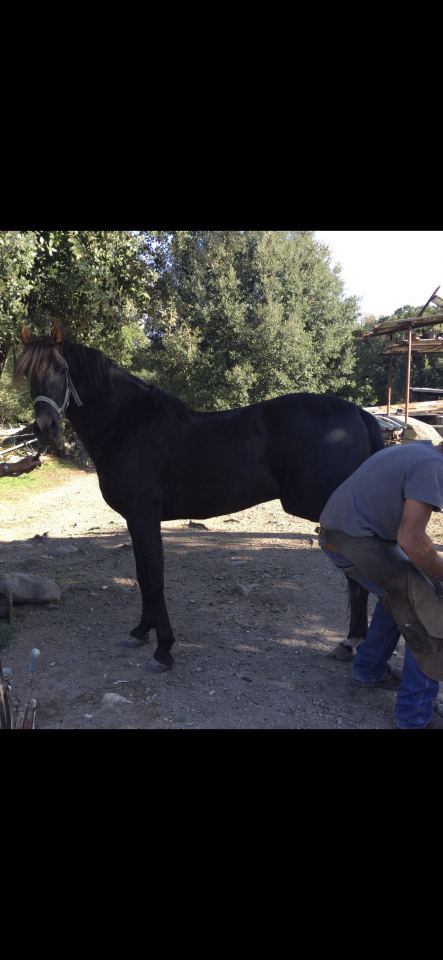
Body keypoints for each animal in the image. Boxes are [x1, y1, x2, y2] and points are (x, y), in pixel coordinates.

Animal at [14, 324, 384, 673]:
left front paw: (163, 649)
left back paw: (353, 641)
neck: (128, 426)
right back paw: (351, 642)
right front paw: (141, 631)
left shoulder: (144, 517)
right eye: (27, 373)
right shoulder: (134, 520)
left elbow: (154, 579)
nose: (45, 429)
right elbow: (141, 576)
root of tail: (359, 413)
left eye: (63, 369)